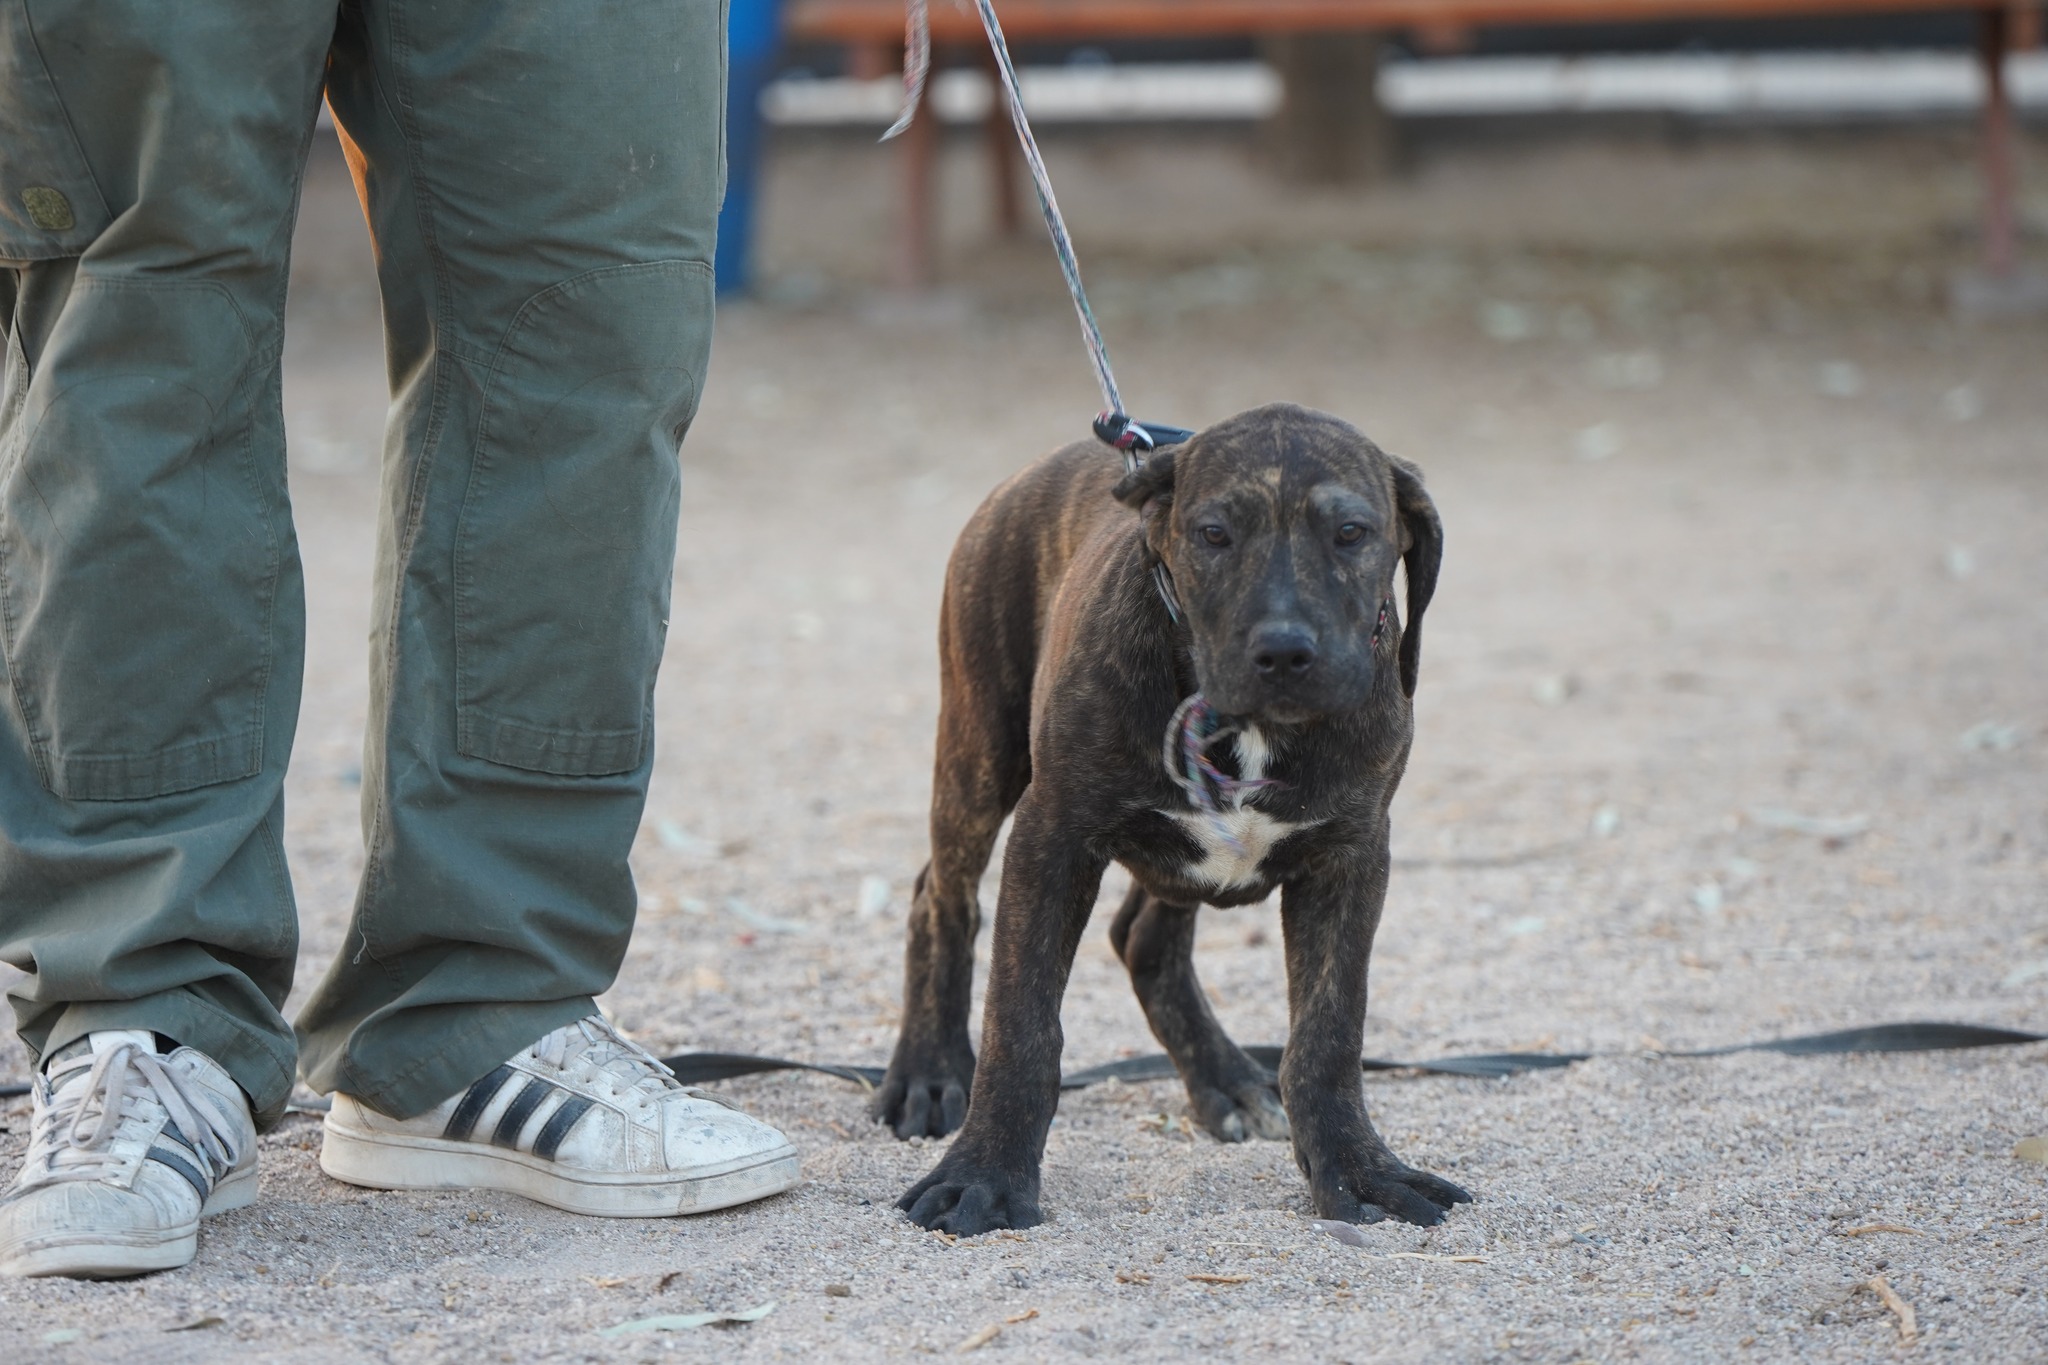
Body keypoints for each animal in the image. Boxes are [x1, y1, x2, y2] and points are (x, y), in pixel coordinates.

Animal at [872, 401, 1466, 1236]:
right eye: (1214, 534)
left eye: (1351, 532)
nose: (1284, 652)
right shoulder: (1053, 836)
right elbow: (1021, 1023)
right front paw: (984, 1173)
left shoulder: (1351, 855)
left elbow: (1328, 1032)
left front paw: (1359, 1168)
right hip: (979, 748)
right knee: (941, 897)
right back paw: (927, 1072)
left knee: (1143, 936)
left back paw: (1227, 1080)